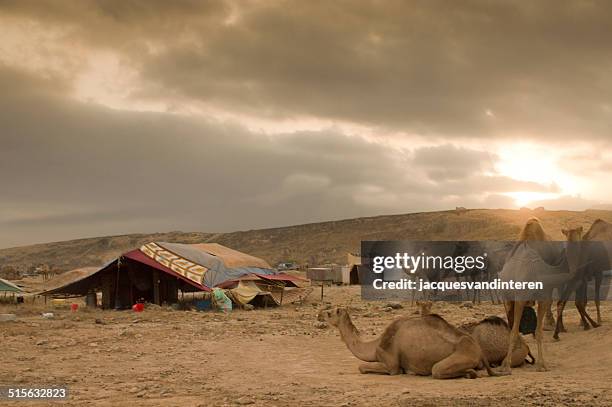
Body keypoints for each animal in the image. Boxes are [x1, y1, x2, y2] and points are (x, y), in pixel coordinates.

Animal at [318, 308, 504, 380]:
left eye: (329, 313)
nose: (319, 315)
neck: (374, 345)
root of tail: (478, 349)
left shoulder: (391, 364)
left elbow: (362, 367)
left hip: (462, 355)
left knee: (438, 370)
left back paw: (469, 373)